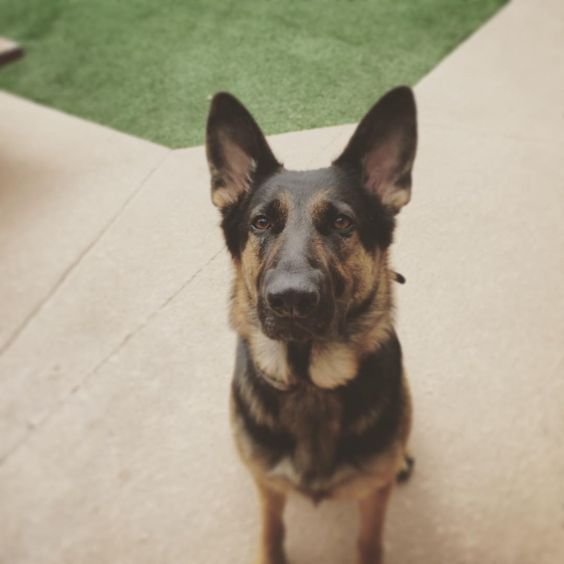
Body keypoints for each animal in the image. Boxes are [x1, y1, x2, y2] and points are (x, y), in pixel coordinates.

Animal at [205, 87, 416, 564]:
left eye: (341, 222)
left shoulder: (373, 496)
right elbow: (272, 530)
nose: (291, 300)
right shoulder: (266, 485)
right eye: (261, 222)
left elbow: (369, 541)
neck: (309, 383)